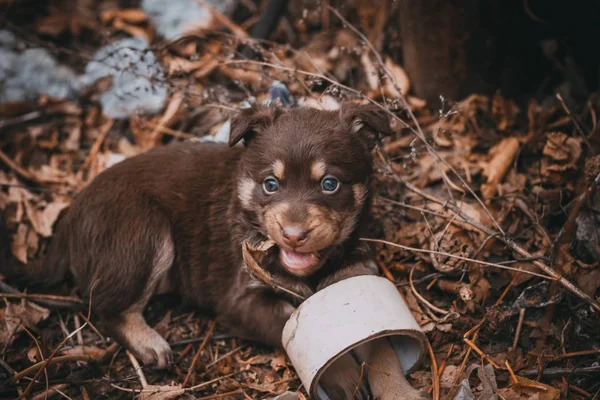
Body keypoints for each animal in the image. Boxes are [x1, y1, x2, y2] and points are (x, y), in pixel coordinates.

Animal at [3, 104, 426, 400]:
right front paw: (343, 374)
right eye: (271, 184)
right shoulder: (240, 300)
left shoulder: (358, 275)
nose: (293, 235)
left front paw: (399, 390)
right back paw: (149, 342)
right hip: (144, 232)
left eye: (330, 184)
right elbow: (289, 324)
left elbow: (381, 344)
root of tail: (69, 218)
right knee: (104, 307)